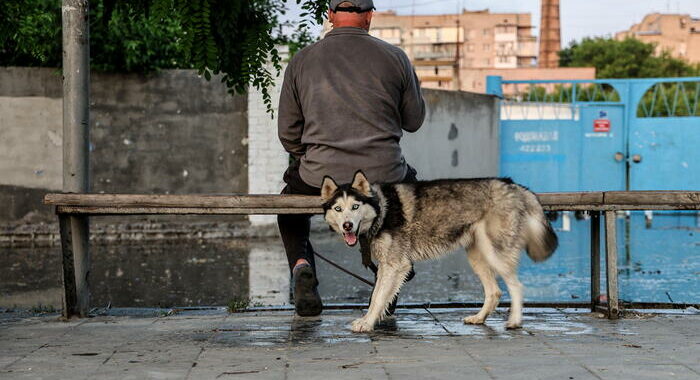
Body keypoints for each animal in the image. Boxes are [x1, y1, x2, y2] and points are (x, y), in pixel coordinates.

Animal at [322, 171, 556, 332]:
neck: (382, 210)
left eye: (355, 207)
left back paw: (514, 321)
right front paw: (369, 320)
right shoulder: (385, 267)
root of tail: (512, 184)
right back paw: (479, 318)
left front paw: (367, 323)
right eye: (338, 209)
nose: (347, 226)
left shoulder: (396, 265)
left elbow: (378, 298)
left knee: (516, 286)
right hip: (478, 257)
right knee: (494, 292)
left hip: (495, 254)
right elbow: (377, 296)